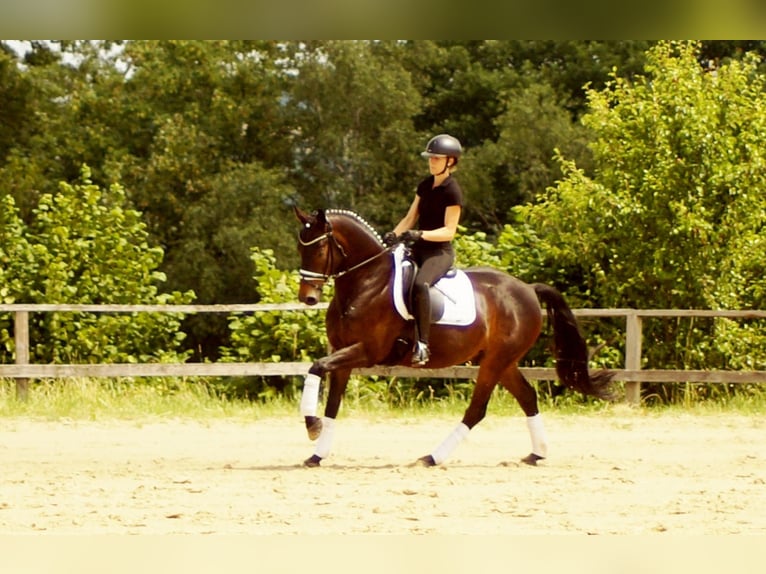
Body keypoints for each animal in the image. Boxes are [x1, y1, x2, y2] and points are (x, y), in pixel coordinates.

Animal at [292, 207, 616, 468]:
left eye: (319, 249)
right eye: (300, 247)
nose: (308, 298)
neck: (367, 282)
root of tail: (527, 289)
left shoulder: (367, 351)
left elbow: (316, 367)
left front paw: (311, 425)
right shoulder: (343, 353)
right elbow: (332, 404)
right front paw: (317, 454)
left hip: (495, 362)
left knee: (476, 410)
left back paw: (432, 457)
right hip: (502, 361)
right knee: (527, 396)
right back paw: (537, 454)